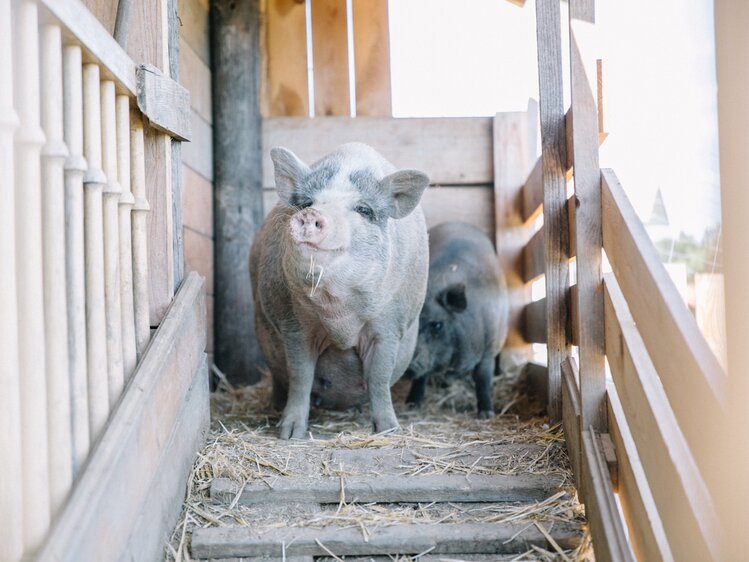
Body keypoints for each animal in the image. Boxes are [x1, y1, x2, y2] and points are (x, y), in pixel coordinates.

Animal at [250, 141, 430, 438]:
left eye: (364, 210)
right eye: (306, 203)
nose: (311, 214)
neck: (339, 317)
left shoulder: (388, 327)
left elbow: (379, 378)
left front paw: (389, 431)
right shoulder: (295, 326)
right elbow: (300, 376)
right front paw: (289, 434)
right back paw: (273, 408)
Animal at [404, 221, 508, 418]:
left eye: (437, 325)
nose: (406, 365)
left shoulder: (489, 347)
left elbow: (483, 379)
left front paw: (486, 414)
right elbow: (421, 378)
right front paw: (412, 405)